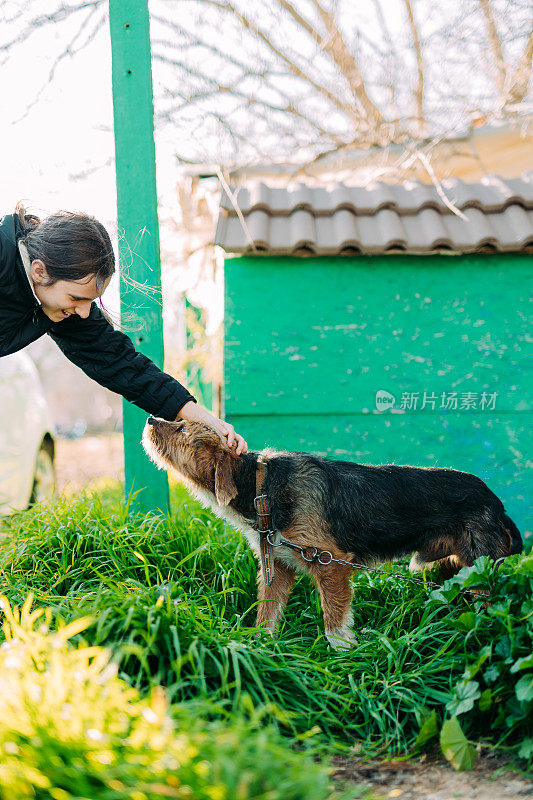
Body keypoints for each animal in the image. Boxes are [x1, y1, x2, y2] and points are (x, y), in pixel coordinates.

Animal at [141, 418, 520, 648]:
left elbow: (333, 621)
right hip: (449, 568)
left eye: (181, 428)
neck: (262, 486)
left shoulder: (332, 563)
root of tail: (495, 500)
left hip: (481, 573)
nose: (150, 419)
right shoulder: (278, 568)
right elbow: (267, 615)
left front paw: (344, 655)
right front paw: (257, 648)